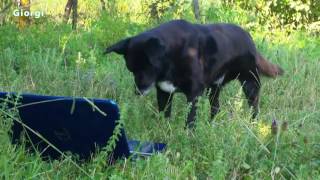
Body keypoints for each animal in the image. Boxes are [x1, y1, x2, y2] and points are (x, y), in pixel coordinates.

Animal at [105, 19, 282, 128]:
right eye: (131, 69)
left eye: (148, 67)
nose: (138, 91)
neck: (172, 56)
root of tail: (249, 38)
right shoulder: (164, 93)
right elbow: (165, 115)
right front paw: (164, 131)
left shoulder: (194, 94)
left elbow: (189, 120)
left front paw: (187, 136)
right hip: (214, 88)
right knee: (215, 108)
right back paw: (212, 125)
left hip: (249, 83)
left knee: (254, 107)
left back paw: (253, 124)